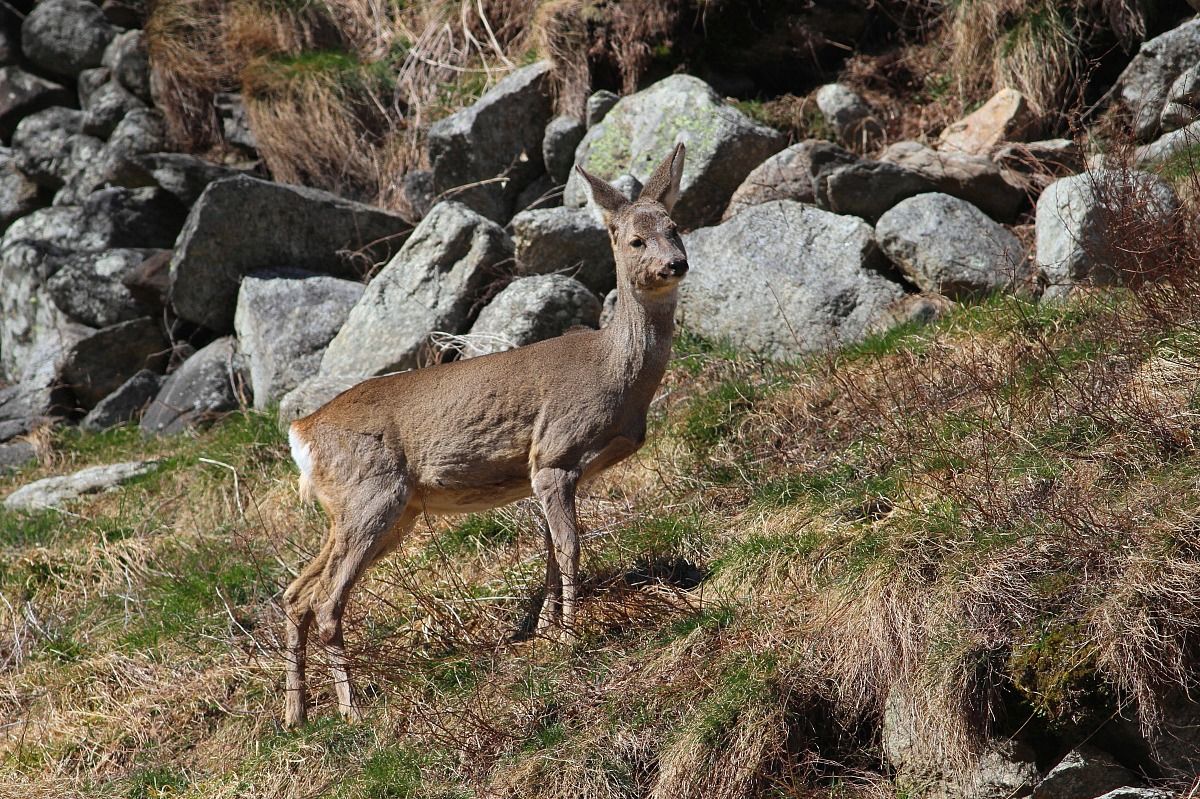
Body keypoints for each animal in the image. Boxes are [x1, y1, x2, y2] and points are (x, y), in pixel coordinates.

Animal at [281, 143, 689, 727]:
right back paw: (351, 710)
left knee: (296, 592)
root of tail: (302, 431)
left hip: (376, 512)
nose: (676, 263)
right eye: (636, 240)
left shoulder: (551, 474)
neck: (614, 370)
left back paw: (296, 715)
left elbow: (550, 551)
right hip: (372, 494)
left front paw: (547, 632)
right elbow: (570, 547)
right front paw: (573, 637)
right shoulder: (554, 455)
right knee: (325, 600)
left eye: (675, 227)